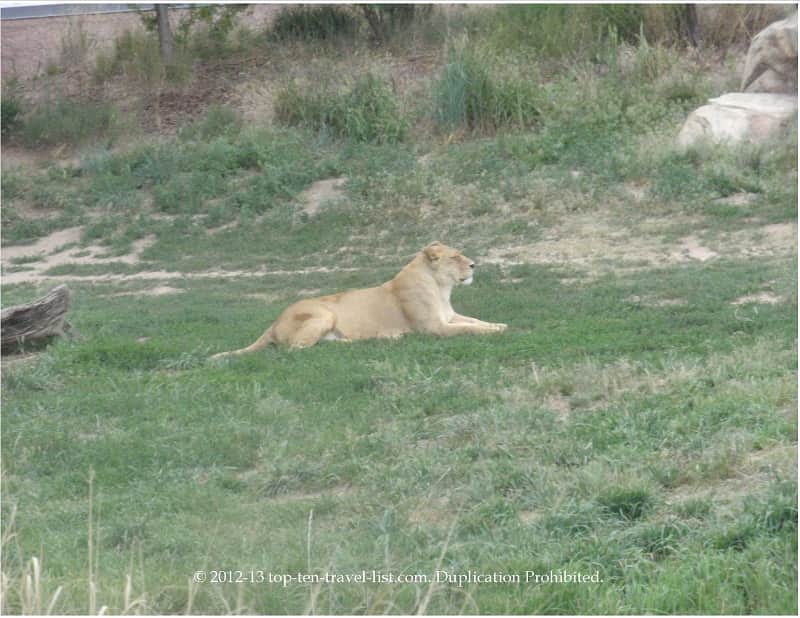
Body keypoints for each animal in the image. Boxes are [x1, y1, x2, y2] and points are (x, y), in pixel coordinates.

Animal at [210, 241, 507, 358]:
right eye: (455, 257)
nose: (474, 265)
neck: (441, 287)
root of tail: (273, 323)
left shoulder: (450, 316)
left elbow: (475, 320)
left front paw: (500, 325)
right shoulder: (434, 328)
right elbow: (469, 329)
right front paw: (495, 331)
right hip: (324, 313)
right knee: (298, 350)